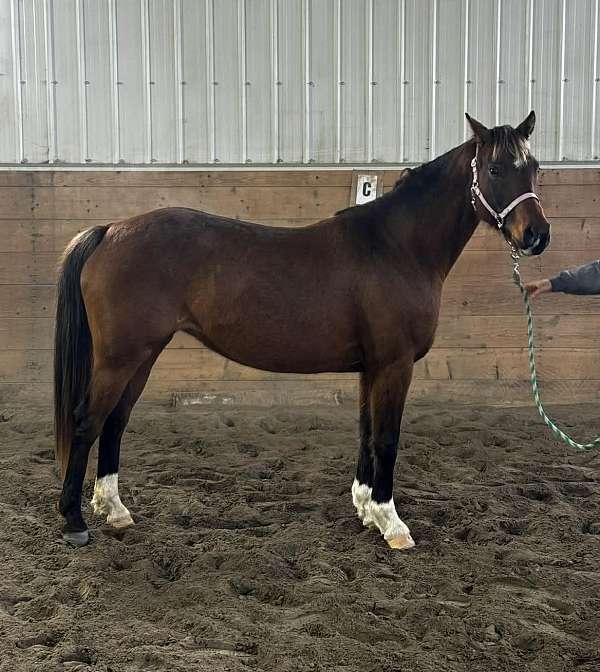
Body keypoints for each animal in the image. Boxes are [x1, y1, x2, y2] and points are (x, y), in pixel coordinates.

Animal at [54, 112, 550, 548]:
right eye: (495, 168)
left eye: (534, 168)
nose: (536, 236)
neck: (396, 247)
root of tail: (110, 230)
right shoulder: (395, 364)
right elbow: (387, 438)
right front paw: (392, 524)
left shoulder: (372, 367)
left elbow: (366, 432)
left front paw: (366, 509)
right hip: (120, 359)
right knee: (86, 422)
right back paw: (74, 521)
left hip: (142, 355)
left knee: (115, 422)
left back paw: (115, 509)